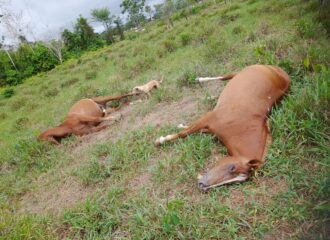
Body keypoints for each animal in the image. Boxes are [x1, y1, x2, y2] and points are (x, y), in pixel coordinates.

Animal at [155, 64, 288, 191]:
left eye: (236, 182)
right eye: (232, 167)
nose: (203, 186)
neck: (241, 126)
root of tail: (280, 71)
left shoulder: (210, 127)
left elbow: (195, 130)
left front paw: (180, 126)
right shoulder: (209, 118)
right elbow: (184, 133)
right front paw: (160, 140)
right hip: (242, 71)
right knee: (225, 77)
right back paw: (200, 80)